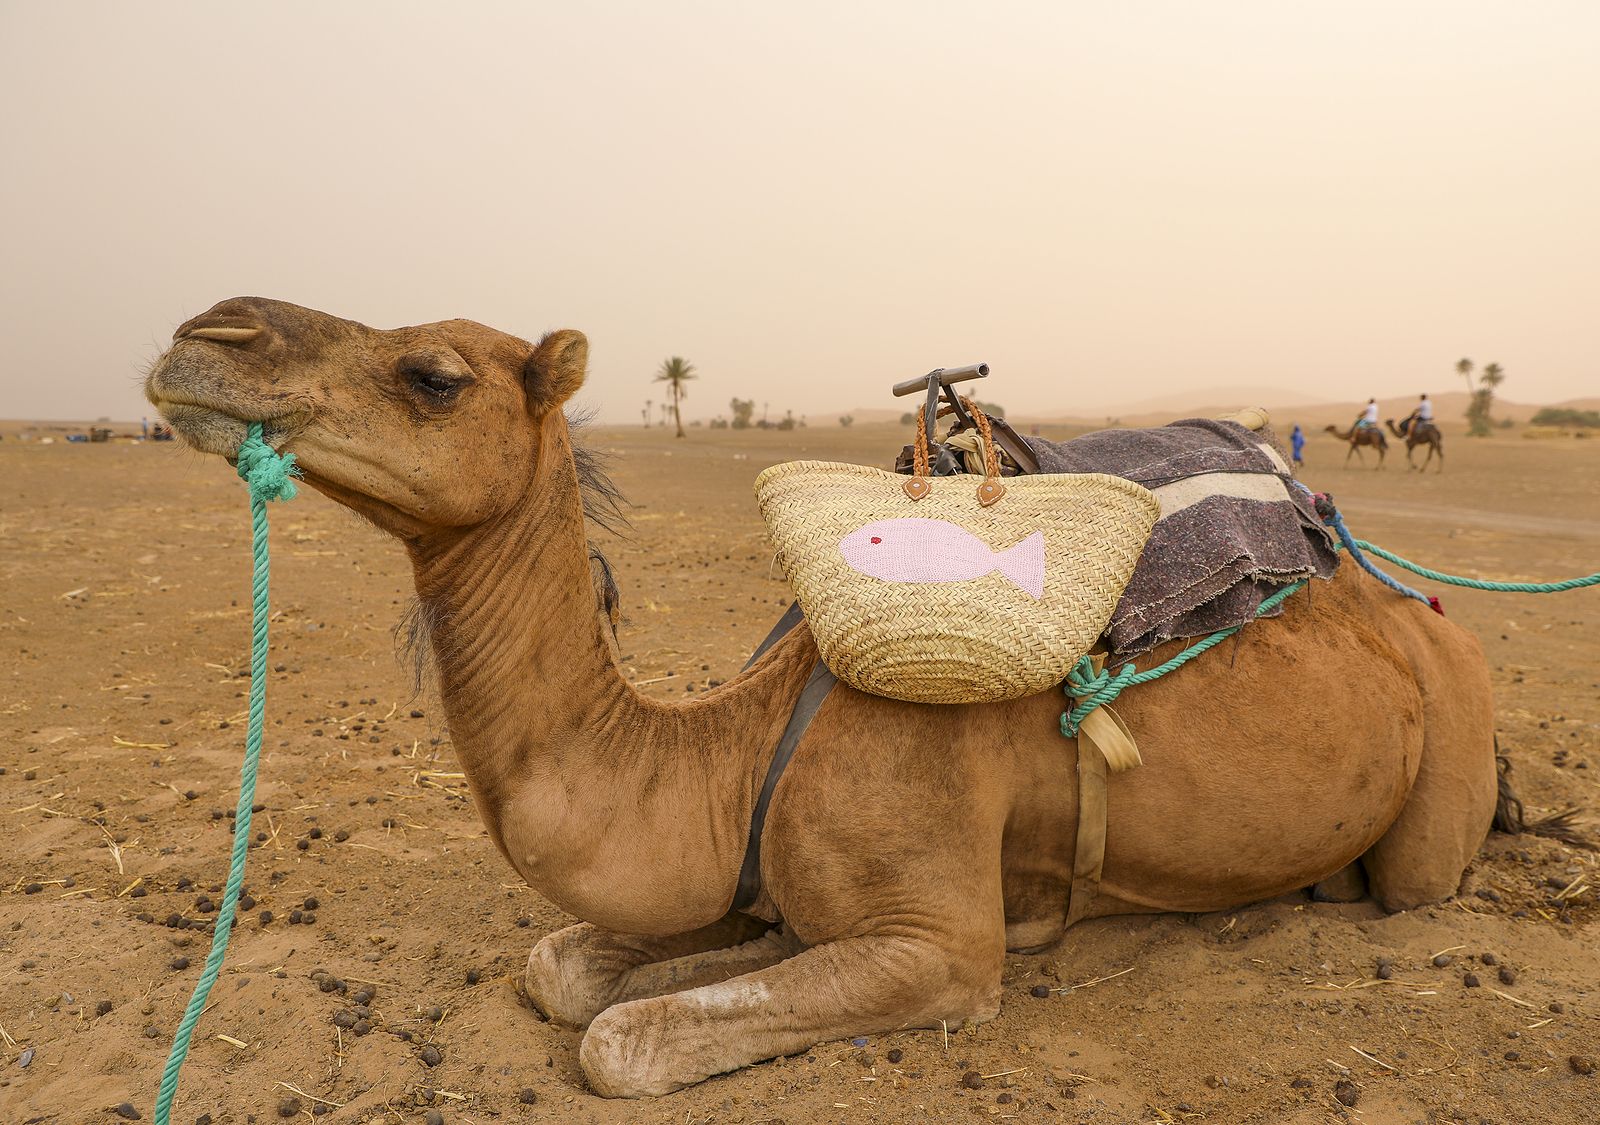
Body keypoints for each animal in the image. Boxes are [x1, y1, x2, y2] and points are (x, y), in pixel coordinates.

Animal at [147, 299, 1497, 1100]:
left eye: (430, 375)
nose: (205, 333)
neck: (740, 745)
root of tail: (1405, 602)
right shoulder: (739, 869)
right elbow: (562, 969)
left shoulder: (938, 949)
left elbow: (618, 1038)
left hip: (1447, 753)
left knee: (1416, 879)